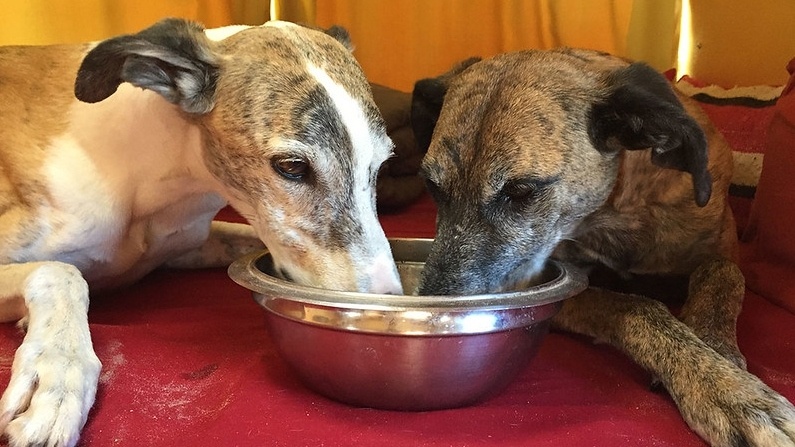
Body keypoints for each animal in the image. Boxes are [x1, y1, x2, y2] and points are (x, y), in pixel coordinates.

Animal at [0, 18, 402, 447]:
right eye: (292, 166)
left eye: (382, 164)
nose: (388, 308)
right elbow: (60, 271)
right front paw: (57, 379)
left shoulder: (186, 244)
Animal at [414, 49, 795, 447]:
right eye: (432, 186)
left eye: (520, 191)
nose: (436, 313)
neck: (616, 210)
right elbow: (634, 306)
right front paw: (724, 386)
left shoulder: (720, 249)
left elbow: (723, 273)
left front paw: (722, 366)